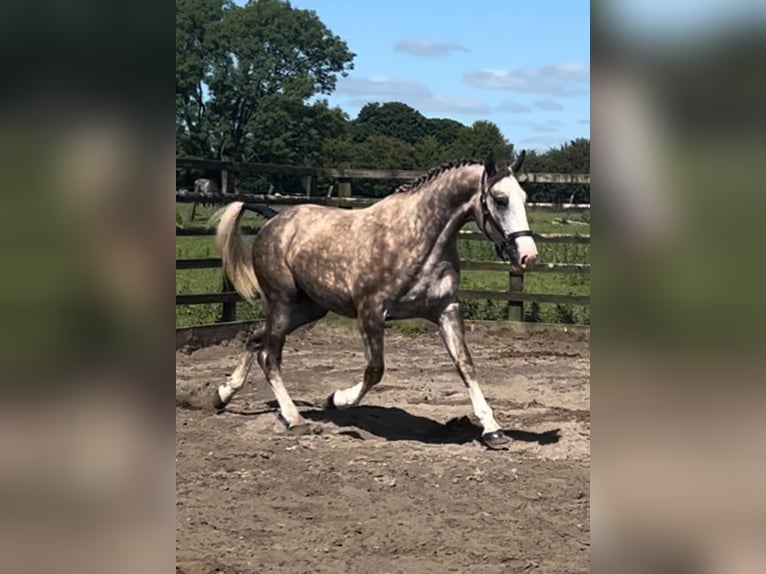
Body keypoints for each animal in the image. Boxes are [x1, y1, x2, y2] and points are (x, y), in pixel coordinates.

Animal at [207, 153, 536, 450]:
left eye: (523, 197)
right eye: (500, 199)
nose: (527, 255)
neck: (419, 237)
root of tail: (274, 219)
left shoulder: (446, 310)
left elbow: (465, 365)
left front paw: (493, 431)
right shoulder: (371, 312)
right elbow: (375, 370)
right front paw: (337, 399)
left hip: (308, 308)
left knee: (255, 339)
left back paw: (223, 394)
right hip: (282, 302)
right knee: (270, 356)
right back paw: (294, 419)